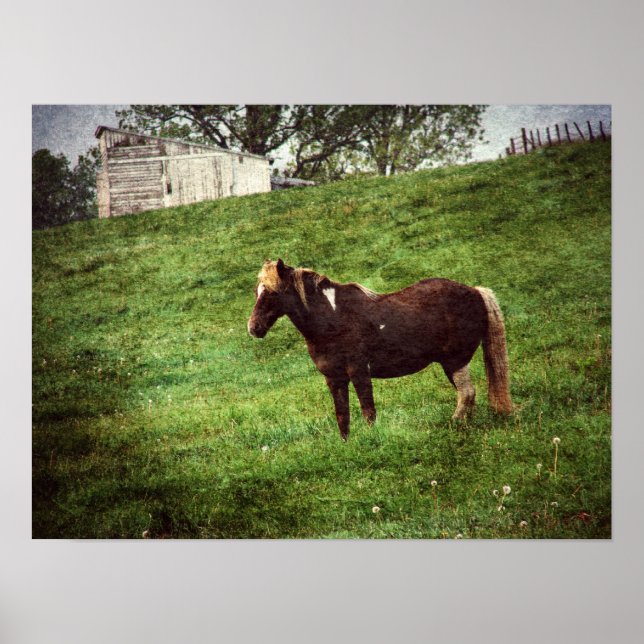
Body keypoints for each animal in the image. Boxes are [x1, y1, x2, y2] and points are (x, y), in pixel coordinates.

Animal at [247, 259, 512, 440]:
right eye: (257, 291)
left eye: (273, 292)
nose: (254, 327)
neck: (333, 318)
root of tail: (476, 291)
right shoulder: (334, 378)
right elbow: (342, 415)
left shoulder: (359, 371)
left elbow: (368, 410)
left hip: (455, 361)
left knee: (466, 394)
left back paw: (453, 425)